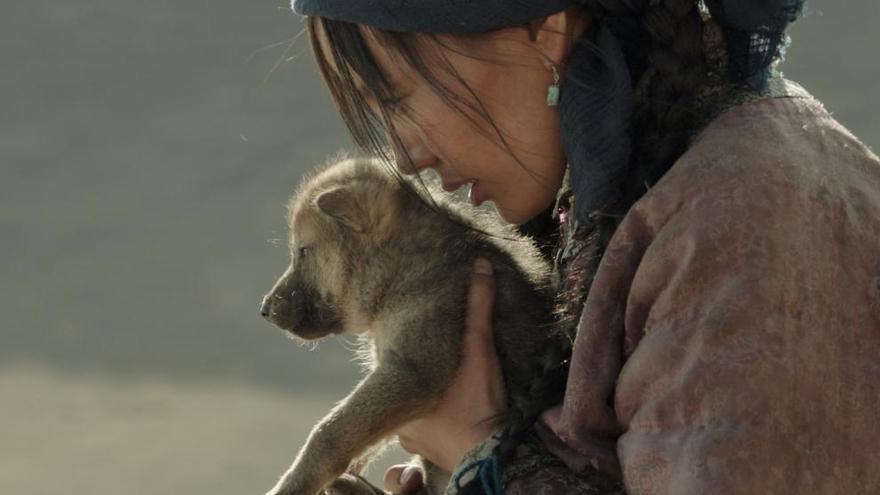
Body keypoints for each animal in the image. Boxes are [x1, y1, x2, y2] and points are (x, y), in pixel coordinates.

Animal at [260, 158, 556, 495]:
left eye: (303, 251)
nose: (264, 310)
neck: (403, 271)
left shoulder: (410, 372)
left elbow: (329, 432)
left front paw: (293, 483)